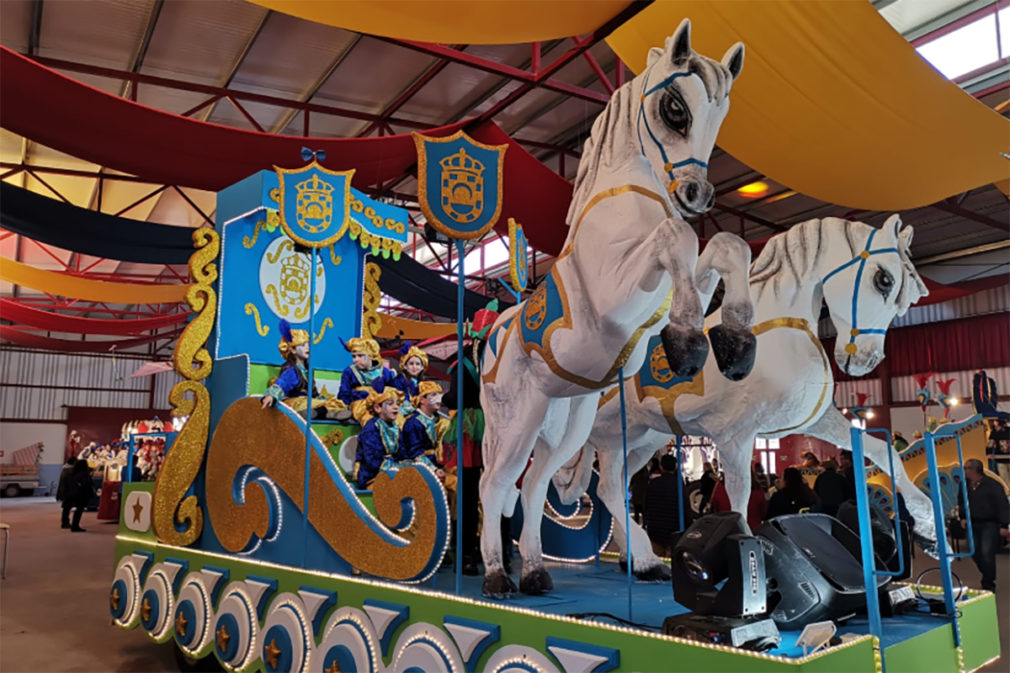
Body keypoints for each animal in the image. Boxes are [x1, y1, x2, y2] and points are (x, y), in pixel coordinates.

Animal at [476, 20, 755, 594]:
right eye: (675, 107)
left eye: (720, 117)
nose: (697, 194)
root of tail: (489, 339)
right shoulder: (614, 302)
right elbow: (678, 237)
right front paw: (688, 344)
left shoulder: (662, 289)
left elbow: (723, 245)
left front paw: (736, 344)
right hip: (516, 418)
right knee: (495, 484)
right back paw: (496, 575)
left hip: (563, 422)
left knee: (533, 485)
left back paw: (535, 571)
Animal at [557, 216, 933, 578]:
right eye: (883, 280)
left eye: (910, 299)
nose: (864, 360)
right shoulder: (735, 434)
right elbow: (739, 495)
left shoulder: (818, 421)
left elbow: (881, 450)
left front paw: (928, 525)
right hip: (609, 437)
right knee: (597, 486)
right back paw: (641, 559)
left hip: (643, 440)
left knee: (618, 486)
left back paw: (633, 559)